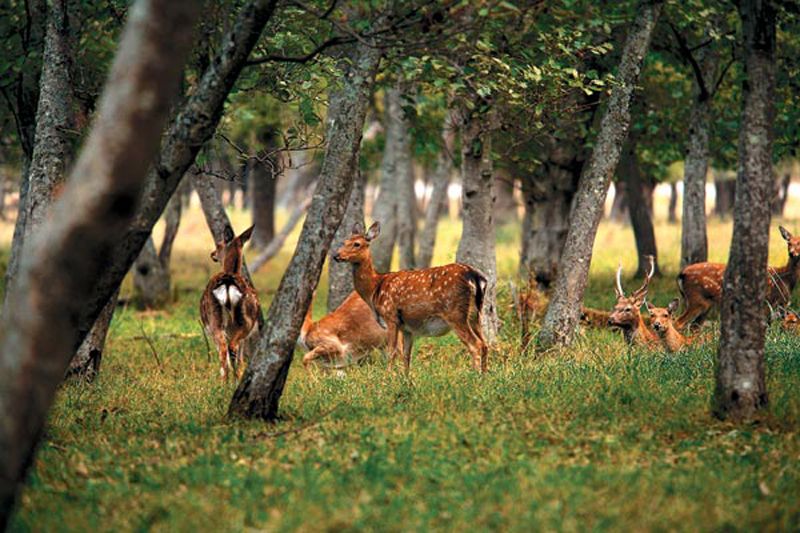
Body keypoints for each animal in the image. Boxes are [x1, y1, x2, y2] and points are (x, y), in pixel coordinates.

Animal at [200, 225, 260, 381]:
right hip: (243, 322)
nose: (212, 254)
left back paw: (225, 382)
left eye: (218, 245)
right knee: (233, 351)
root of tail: (227, 283)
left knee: (226, 350)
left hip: (217, 321)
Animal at [333, 221, 489, 374]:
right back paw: (484, 375)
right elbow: (406, 354)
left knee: (475, 344)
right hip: (475, 314)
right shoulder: (407, 327)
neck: (375, 289)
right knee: (485, 343)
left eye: (357, 244)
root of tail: (475, 276)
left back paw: (475, 375)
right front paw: (405, 377)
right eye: (344, 241)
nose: (336, 255)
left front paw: (388, 376)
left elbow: (392, 352)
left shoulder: (391, 316)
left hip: (455, 313)